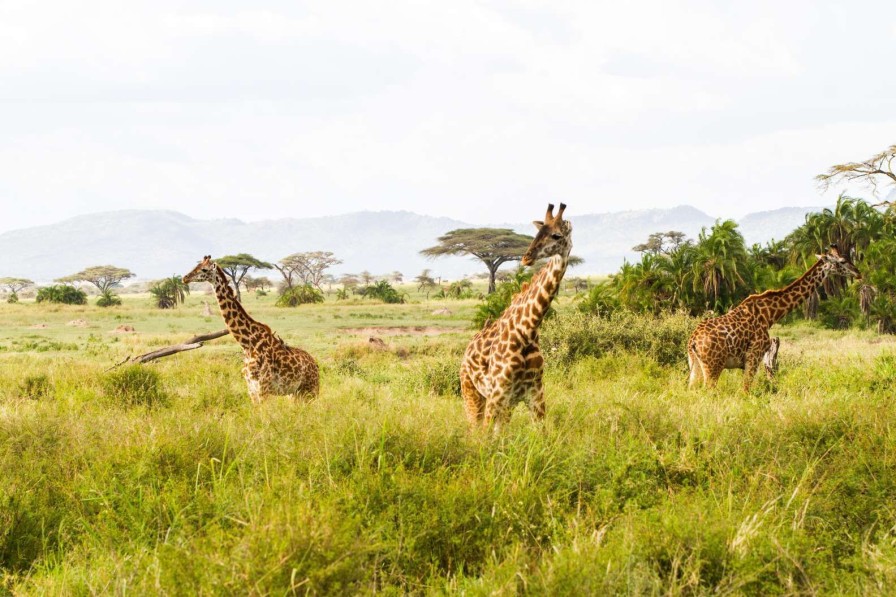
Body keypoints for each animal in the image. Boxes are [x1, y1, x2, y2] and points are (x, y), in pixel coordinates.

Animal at [184, 255, 320, 400]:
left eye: (204, 269)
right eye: (196, 266)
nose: (185, 278)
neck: (247, 343)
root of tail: (315, 365)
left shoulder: (264, 389)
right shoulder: (251, 389)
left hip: (310, 391)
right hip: (294, 394)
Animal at [462, 203, 576, 430]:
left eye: (556, 235)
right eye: (537, 233)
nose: (526, 257)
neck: (527, 330)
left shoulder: (535, 394)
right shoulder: (497, 394)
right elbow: (485, 437)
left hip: (507, 405)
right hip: (472, 393)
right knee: (475, 431)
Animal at [688, 244, 860, 388]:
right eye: (843, 261)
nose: (858, 273)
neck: (769, 314)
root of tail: (693, 341)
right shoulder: (754, 356)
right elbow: (746, 390)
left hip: (695, 365)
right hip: (714, 366)